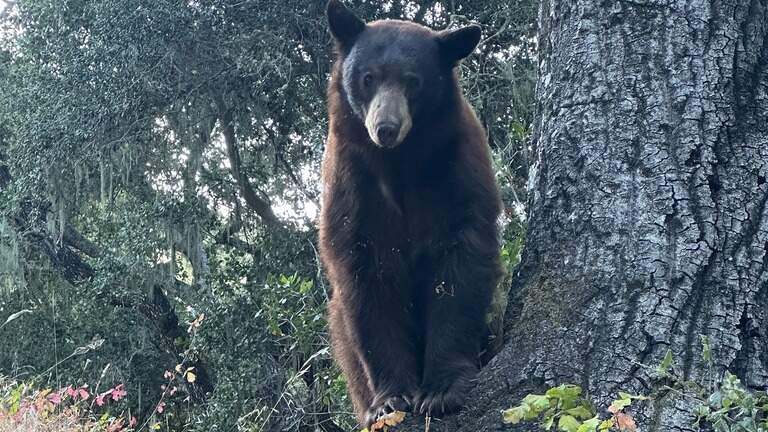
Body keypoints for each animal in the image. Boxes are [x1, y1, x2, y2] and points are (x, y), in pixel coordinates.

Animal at [319, 0, 503, 427]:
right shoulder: (353, 184)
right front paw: (390, 400)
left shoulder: (455, 169)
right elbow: (366, 279)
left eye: (413, 81)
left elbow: (460, 264)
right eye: (368, 78)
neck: (398, 163)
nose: (386, 128)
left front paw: (442, 390)